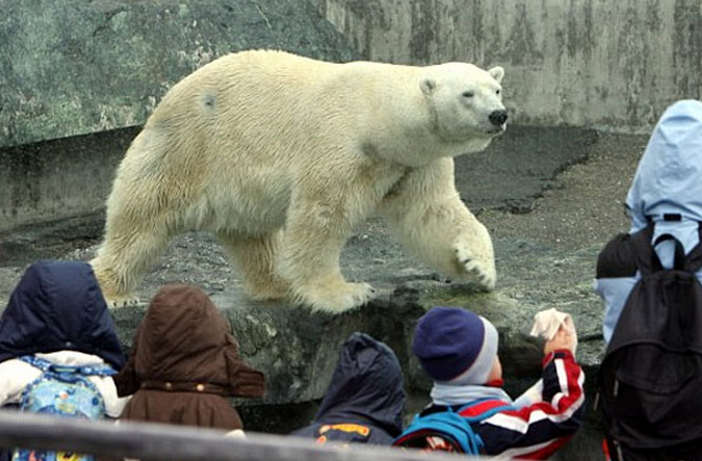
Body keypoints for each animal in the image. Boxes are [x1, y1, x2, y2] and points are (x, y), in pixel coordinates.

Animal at [92, 48, 512, 310]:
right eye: (467, 94)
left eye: (496, 89)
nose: (499, 114)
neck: (377, 114)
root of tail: (166, 98)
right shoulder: (339, 142)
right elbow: (321, 216)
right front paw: (344, 293)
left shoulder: (412, 161)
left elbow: (433, 212)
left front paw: (477, 268)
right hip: (186, 148)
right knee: (141, 222)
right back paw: (113, 290)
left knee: (253, 236)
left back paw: (277, 283)